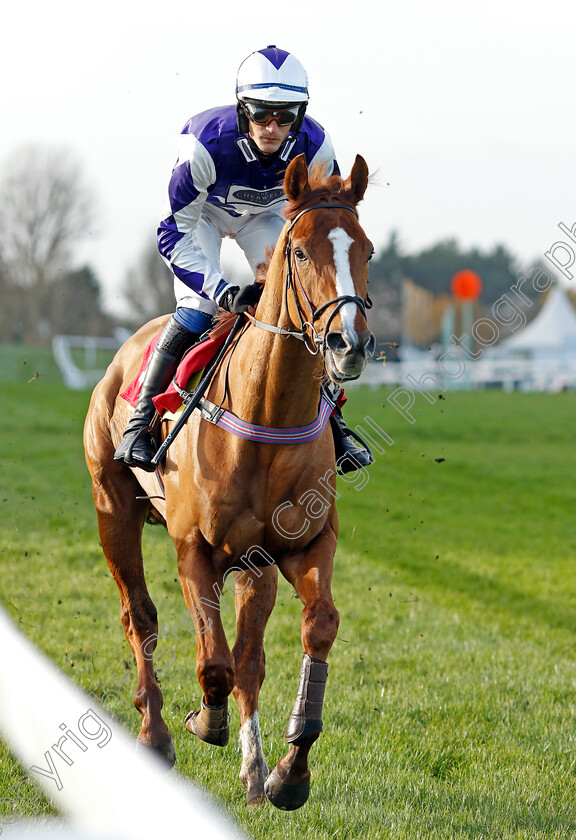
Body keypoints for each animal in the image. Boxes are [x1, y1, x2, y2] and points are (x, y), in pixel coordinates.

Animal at [84, 153, 374, 808]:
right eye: (300, 252)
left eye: (366, 248)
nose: (347, 343)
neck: (267, 416)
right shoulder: (193, 548)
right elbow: (211, 661)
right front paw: (203, 721)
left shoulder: (301, 545)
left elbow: (310, 631)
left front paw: (288, 771)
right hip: (114, 511)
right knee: (140, 618)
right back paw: (156, 735)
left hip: (251, 564)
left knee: (247, 656)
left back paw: (252, 766)